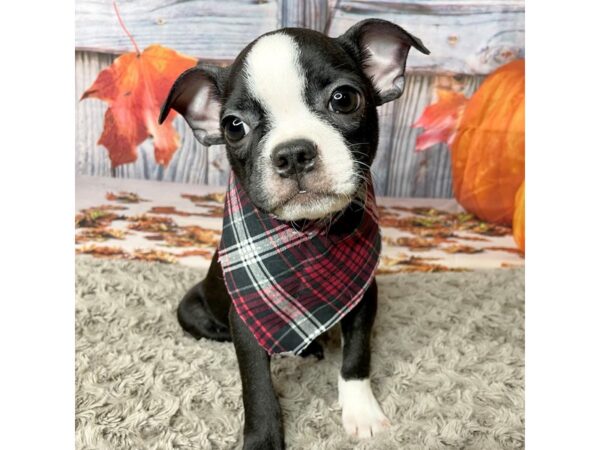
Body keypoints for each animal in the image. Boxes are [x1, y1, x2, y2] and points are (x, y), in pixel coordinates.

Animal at [162, 18, 428, 450]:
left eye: (344, 99)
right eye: (233, 126)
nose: (293, 153)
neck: (308, 235)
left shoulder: (363, 297)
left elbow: (357, 355)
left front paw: (361, 413)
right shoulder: (247, 318)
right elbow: (256, 385)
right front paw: (263, 441)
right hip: (191, 310)